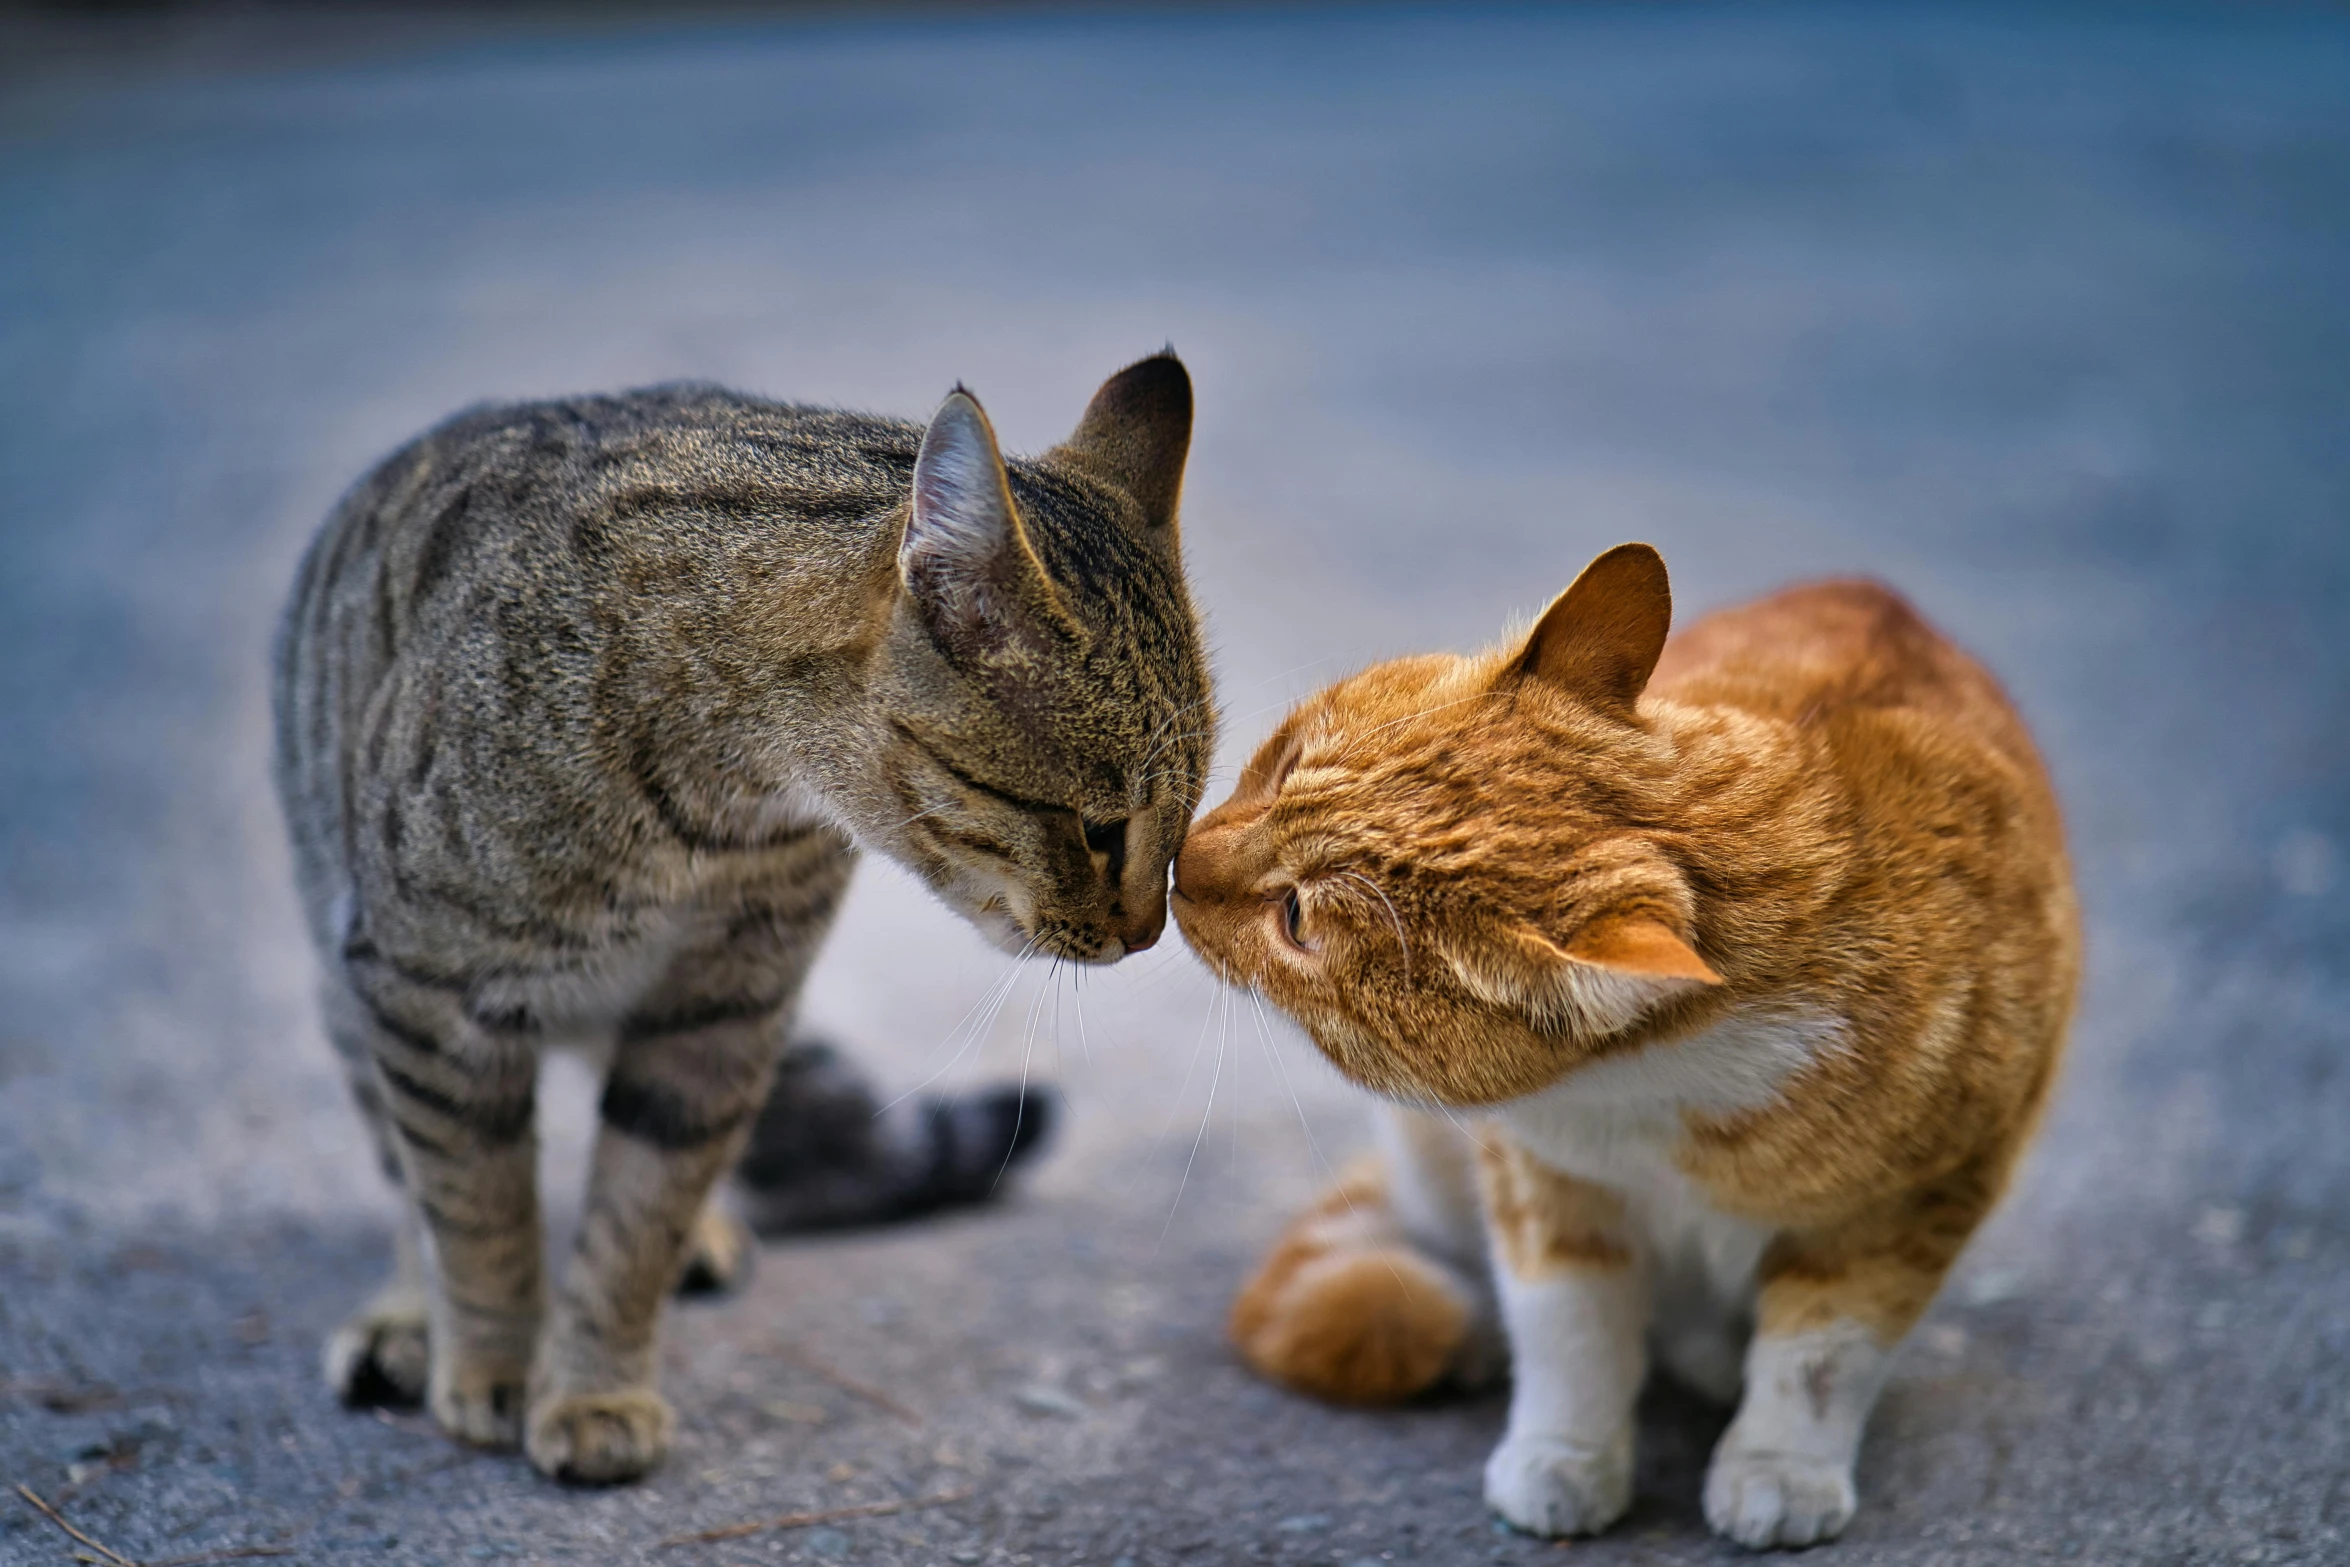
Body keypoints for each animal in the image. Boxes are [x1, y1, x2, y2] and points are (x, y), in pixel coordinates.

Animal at [274, 352, 1212, 1484]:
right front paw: (493, 1362)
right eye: (1101, 827)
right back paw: (409, 1320)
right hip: (345, 973)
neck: (719, 806)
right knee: (404, 1168)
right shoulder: (432, 992)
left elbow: (640, 1212)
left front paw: (594, 1383)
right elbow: (475, 1209)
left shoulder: (722, 1011)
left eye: (1185, 820)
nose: (1146, 933)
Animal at [1175, 545, 2077, 1550]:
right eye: (1282, 765)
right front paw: (1564, 1456)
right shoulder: (1540, 1176)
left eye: (1296, 918)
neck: (1664, 1096)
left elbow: (1824, 1353)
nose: (1177, 862)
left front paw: (1780, 1465)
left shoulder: (1916, 1200)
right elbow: (1572, 1332)